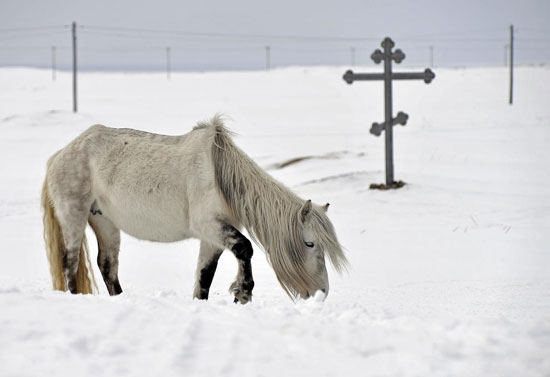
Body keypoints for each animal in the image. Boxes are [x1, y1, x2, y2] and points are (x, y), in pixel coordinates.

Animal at [41, 116, 348, 302]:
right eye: (309, 243)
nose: (322, 292)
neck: (221, 179)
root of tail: (59, 155)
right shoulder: (209, 226)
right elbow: (245, 249)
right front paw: (242, 293)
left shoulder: (212, 239)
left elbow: (204, 278)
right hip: (74, 217)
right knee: (70, 263)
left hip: (105, 223)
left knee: (107, 265)